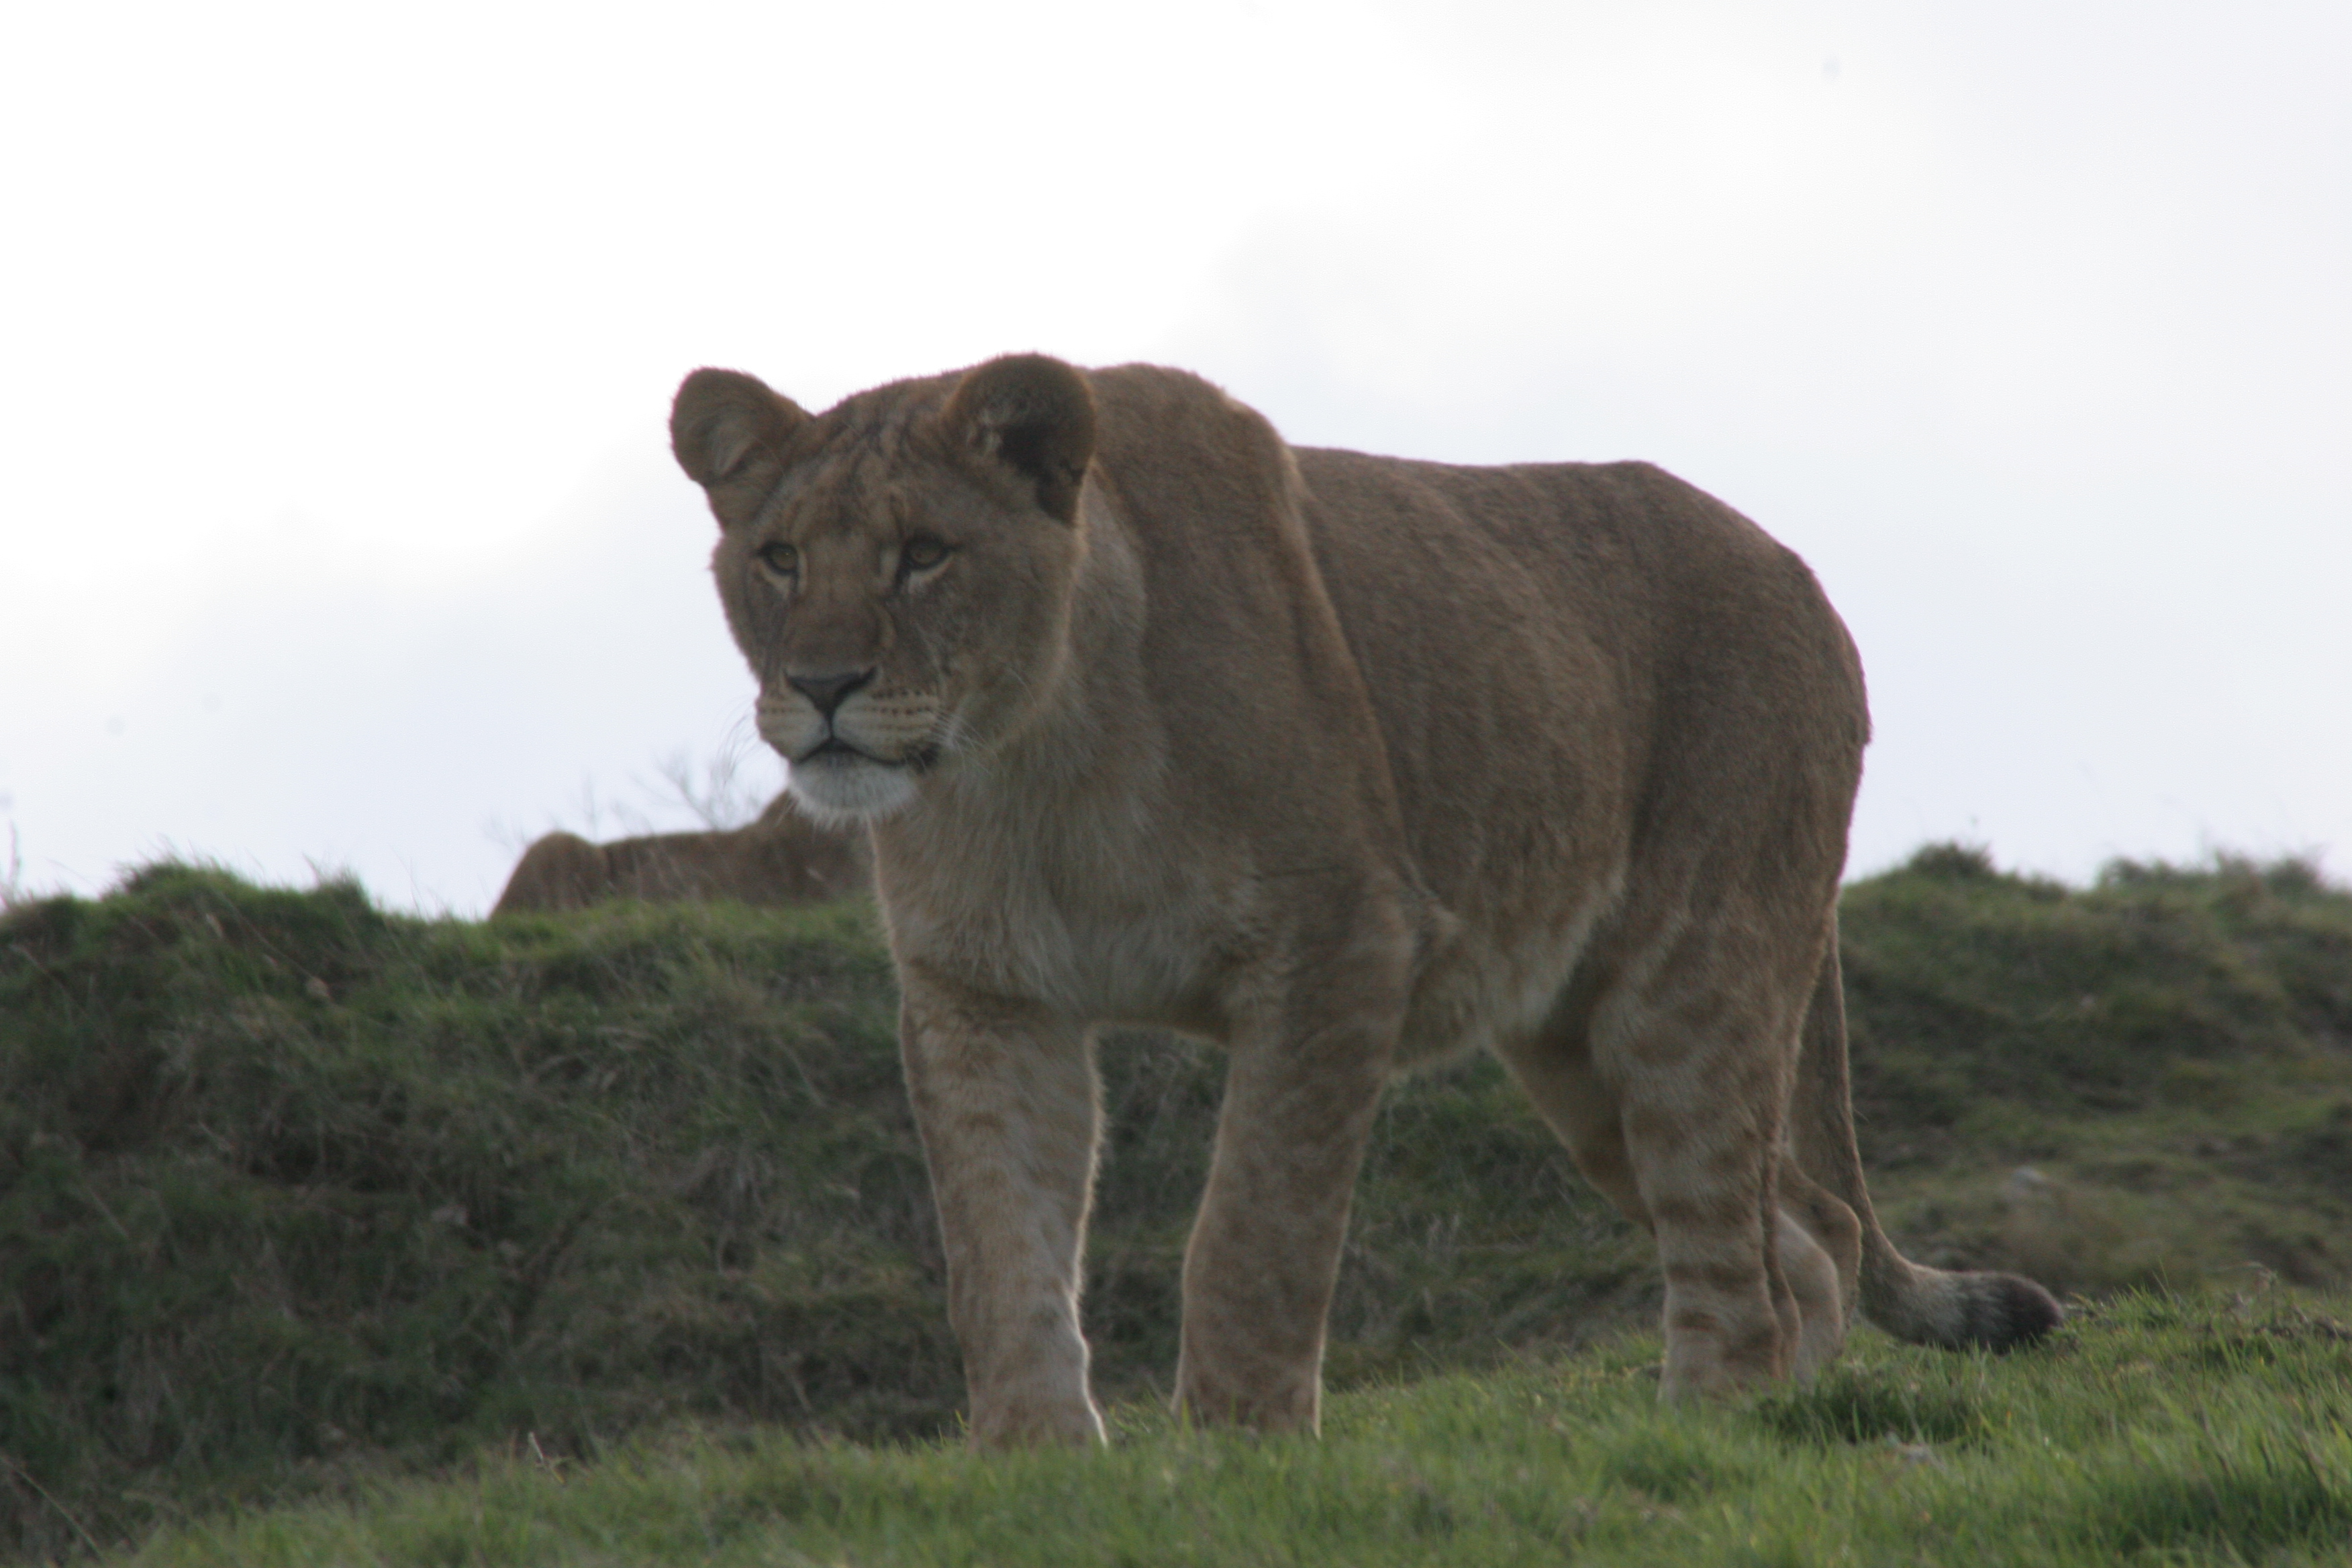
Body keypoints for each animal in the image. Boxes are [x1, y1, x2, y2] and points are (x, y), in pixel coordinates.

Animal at [667, 354, 2061, 1447]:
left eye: (923, 555)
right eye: (778, 558)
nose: (823, 686)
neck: (1031, 769)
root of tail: (1797, 571)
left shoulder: (1339, 945)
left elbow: (1252, 1232)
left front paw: (1235, 1457)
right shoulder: (983, 998)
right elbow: (999, 1248)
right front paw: (1037, 1466)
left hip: (1688, 985)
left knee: (1736, 1245)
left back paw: (1708, 1440)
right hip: (1576, 1061)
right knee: (1805, 1234)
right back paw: (1771, 1424)